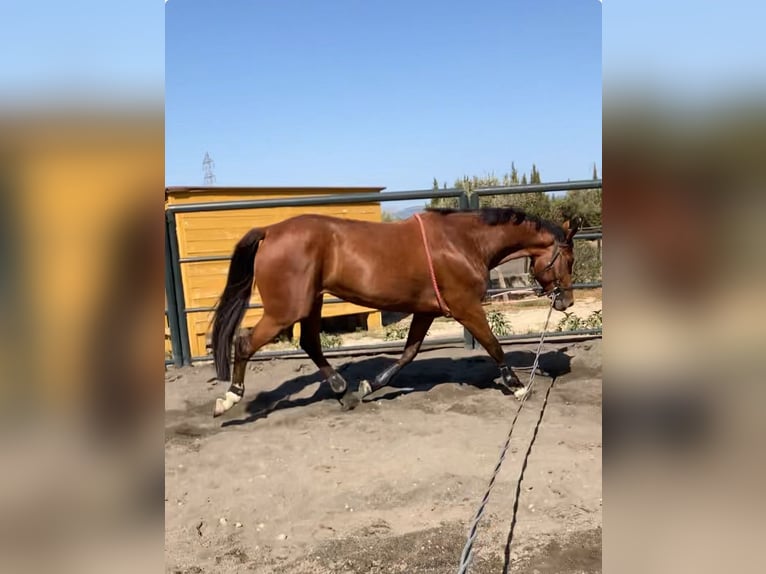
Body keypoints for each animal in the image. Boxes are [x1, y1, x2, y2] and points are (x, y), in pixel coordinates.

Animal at [210, 207, 584, 418]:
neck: (464, 242)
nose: (566, 302)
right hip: (286, 310)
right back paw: (228, 399)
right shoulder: (465, 306)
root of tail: (271, 231)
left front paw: (367, 387)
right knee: (245, 343)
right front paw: (517, 385)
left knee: (310, 344)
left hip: (310, 303)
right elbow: (493, 344)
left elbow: (408, 353)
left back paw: (343, 390)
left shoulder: (426, 311)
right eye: (568, 259)